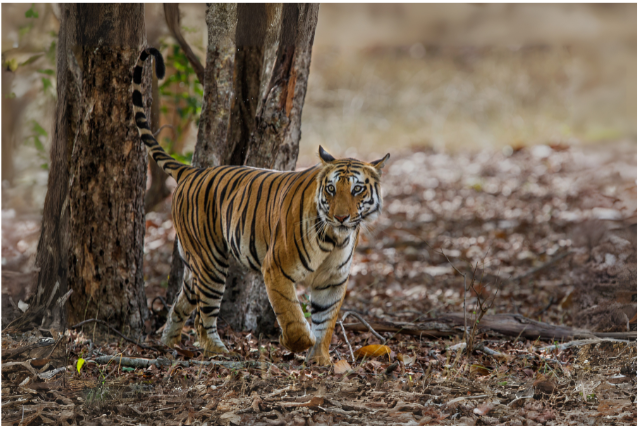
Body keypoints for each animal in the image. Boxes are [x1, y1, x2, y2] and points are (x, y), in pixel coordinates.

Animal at [132, 48, 389, 365]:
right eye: (331, 189)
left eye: (357, 189)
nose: (341, 217)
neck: (335, 238)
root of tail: (192, 171)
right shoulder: (276, 268)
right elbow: (292, 315)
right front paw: (294, 342)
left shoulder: (333, 281)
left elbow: (326, 321)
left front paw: (320, 358)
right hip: (211, 263)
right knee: (203, 319)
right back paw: (218, 351)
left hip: (197, 265)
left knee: (181, 304)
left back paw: (169, 344)